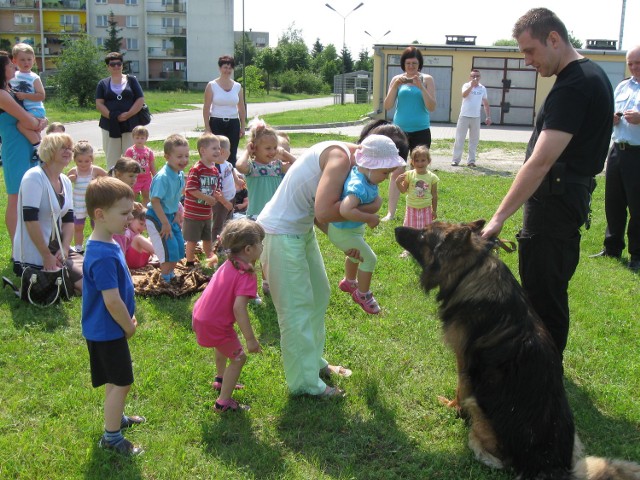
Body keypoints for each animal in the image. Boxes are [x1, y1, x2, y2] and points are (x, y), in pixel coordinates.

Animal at [396, 221, 640, 480]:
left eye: (423, 235)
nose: (395, 229)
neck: (470, 271)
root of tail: (554, 466)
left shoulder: (463, 360)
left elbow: (460, 390)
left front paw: (452, 407)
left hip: (480, 410)